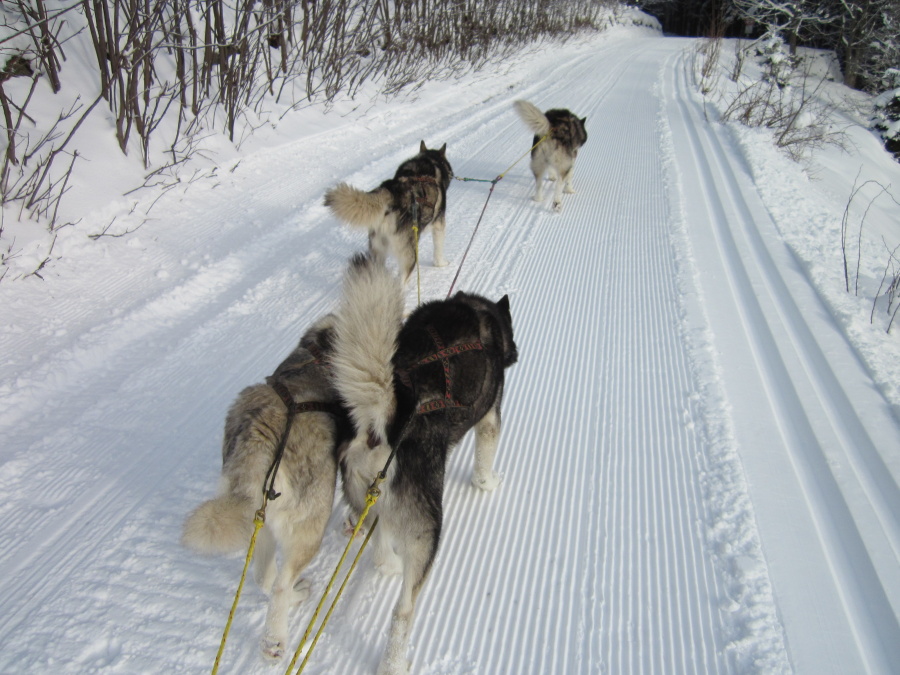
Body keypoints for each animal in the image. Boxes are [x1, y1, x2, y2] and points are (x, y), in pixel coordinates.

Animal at [183, 316, 352, 660]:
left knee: (263, 577)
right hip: (306, 531)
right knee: (280, 585)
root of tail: (259, 441)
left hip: (260, 523)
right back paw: (276, 637)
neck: (316, 353)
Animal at [324, 141, 454, 284]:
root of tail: (392, 191)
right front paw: (441, 263)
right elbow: (438, 249)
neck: (431, 160)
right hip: (410, 254)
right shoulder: (439, 224)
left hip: (378, 250)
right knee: (401, 281)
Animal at [330, 255, 516, 675]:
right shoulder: (491, 418)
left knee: (379, 548)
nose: (517, 352)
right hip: (427, 531)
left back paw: (388, 566)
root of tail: (383, 424)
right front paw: (489, 483)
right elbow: (485, 464)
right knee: (403, 611)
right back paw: (395, 662)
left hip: (372, 504)